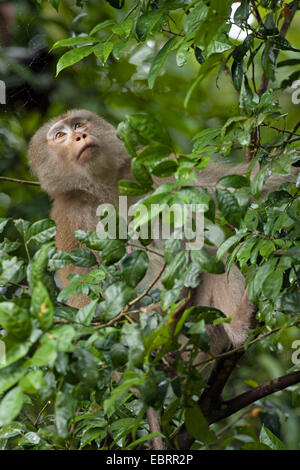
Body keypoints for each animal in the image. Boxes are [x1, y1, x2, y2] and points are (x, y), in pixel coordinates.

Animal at [28, 110, 288, 352]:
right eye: (60, 136)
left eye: (78, 124)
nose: (79, 136)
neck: (102, 185)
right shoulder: (68, 217)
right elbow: (80, 282)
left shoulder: (151, 169)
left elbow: (239, 187)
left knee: (210, 251)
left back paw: (240, 322)